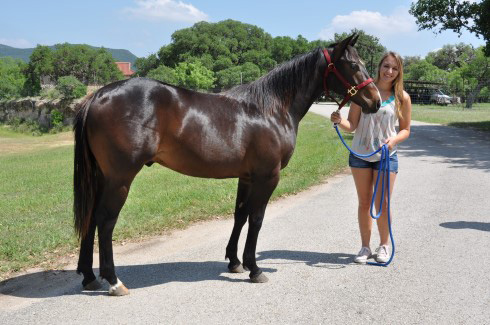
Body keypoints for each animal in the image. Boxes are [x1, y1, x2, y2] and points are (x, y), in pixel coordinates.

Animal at [72, 34, 380, 294]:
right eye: (353, 64)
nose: (375, 101)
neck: (270, 110)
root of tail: (97, 96)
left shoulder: (247, 177)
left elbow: (240, 215)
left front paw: (234, 261)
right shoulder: (268, 177)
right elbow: (256, 219)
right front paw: (254, 268)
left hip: (102, 177)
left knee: (91, 217)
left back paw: (89, 276)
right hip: (120, 178)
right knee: (105, 221)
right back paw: (113, 281)